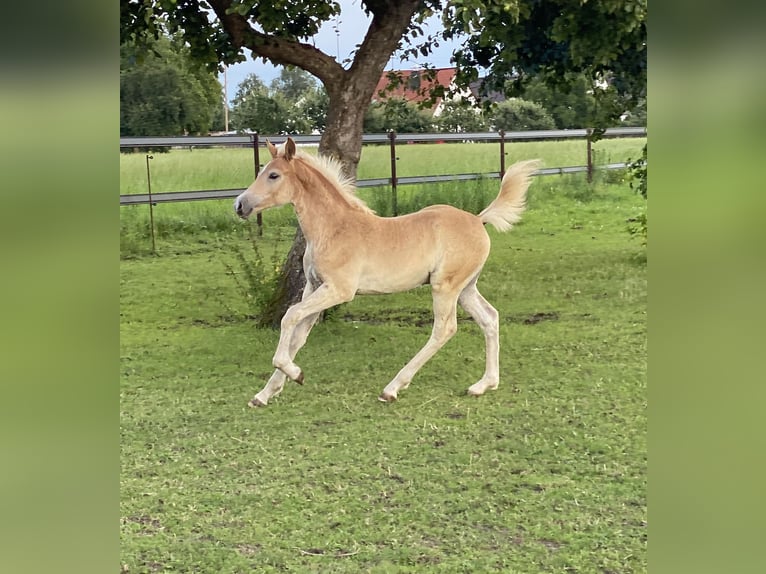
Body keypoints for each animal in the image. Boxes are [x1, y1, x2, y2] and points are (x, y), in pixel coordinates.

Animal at [234, 138, 540, 410]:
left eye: (273, 175)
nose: (239, 205)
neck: (334, 229)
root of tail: (478, 219)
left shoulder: (338, 290)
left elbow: (289, 316)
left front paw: (294, 373)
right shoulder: (313, 285)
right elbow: (298, 334)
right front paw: (264, 394)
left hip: (445, 287)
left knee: (445, 328)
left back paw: (392, 388)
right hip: (466, 288)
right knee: (490, 318)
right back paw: (484, 385)